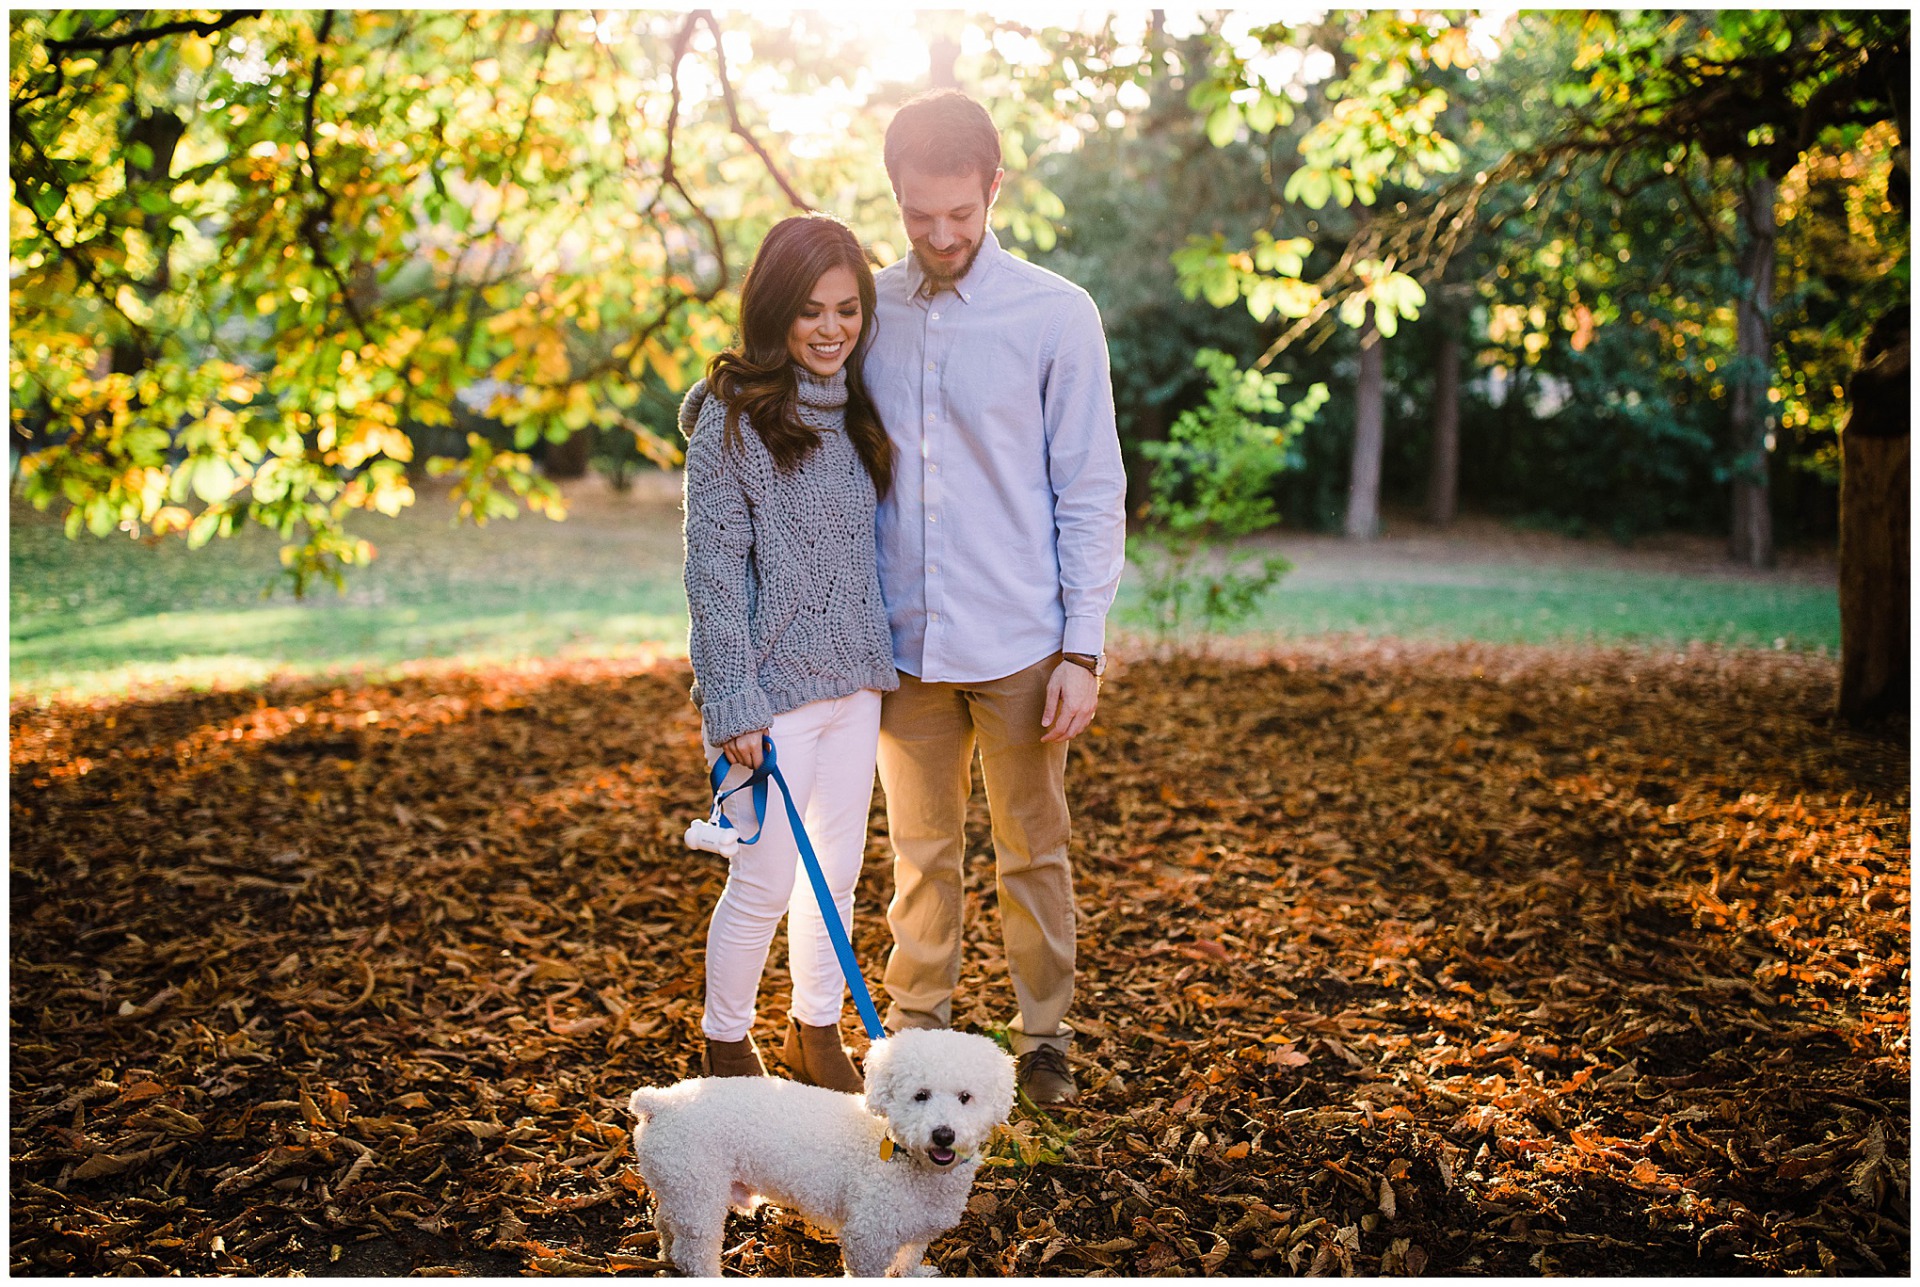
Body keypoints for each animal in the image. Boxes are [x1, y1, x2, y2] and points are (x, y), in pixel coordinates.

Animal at [629, 1029, 1021, 1283]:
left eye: (965, 1097)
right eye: (920, 1095)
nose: (943, 1134)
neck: (902, 1154)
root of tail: (659, 1103)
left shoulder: (915, 1230)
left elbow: (908, 1259)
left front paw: (913, 1274)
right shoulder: (867, 1237)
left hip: (677, 1188)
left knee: (667, 1229)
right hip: (699, 1194)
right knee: (694, 1255)